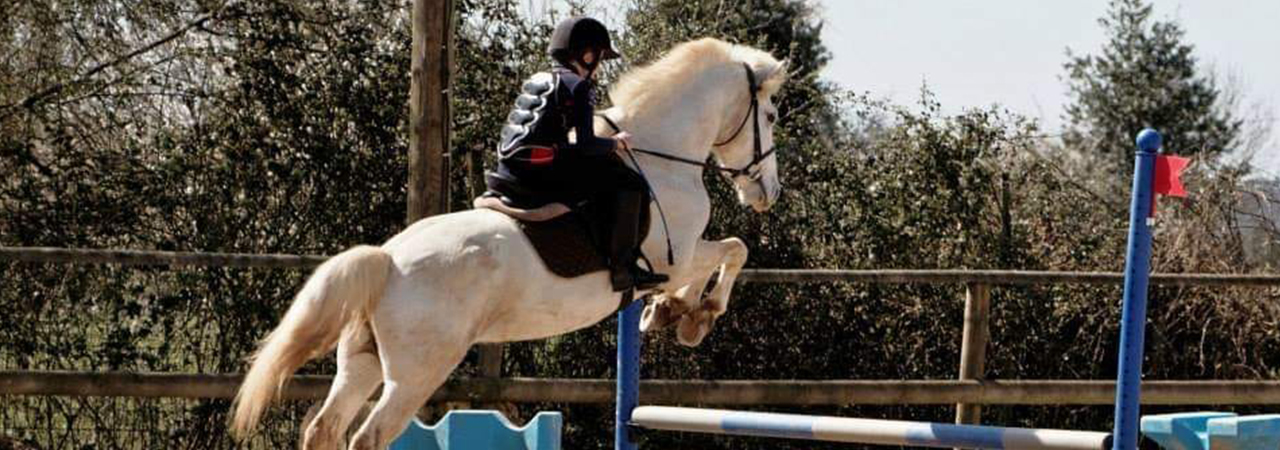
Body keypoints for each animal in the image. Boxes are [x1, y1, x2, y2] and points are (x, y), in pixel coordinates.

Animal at [232, 38, 788, 450]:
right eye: (771, 117)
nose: (769, 192)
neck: (663, 156)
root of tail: (388, 260)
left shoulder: (681, 257)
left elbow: (725, 254)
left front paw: (670, 313)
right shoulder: (676, 257)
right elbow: (732, 250)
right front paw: (691, 316)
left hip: (361, 361)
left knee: (324, 428)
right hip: (416, 372)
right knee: (368, 435)